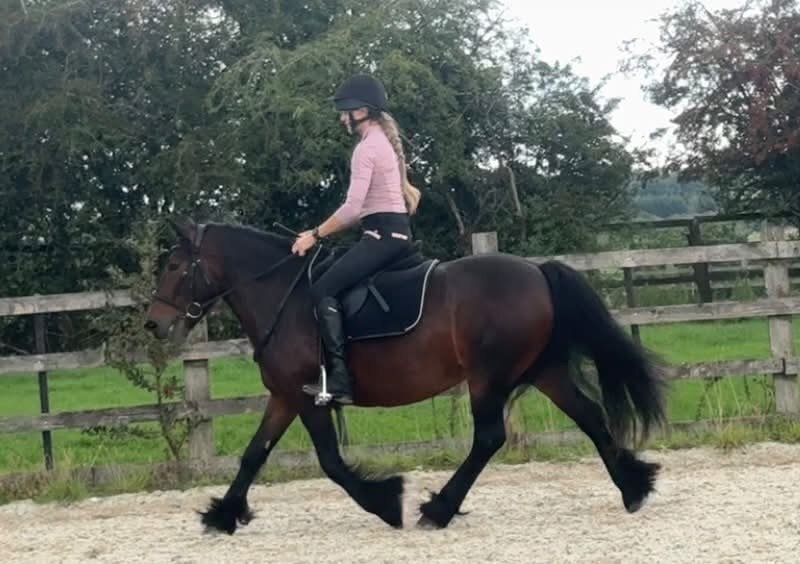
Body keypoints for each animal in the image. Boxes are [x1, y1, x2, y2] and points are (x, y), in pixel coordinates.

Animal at [143, 219, 668, 534]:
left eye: (173, 265)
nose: (154, 324)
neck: (282, 296)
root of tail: (537, 272)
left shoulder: (308, 397)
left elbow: (331, 463)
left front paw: (385, 501)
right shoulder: (285, 396)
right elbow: (254, 455)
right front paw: (223, 515)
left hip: (489, 377)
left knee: (489, 438)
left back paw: (438, 509)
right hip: (543, 371)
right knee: (590, 416)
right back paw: (634, 488)